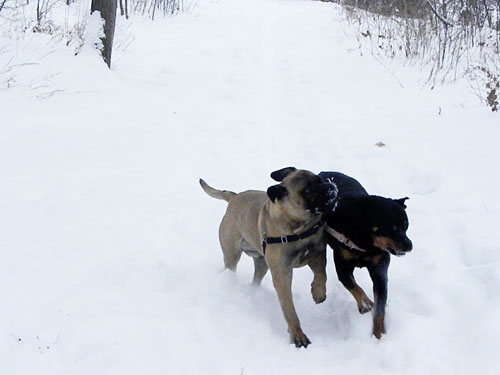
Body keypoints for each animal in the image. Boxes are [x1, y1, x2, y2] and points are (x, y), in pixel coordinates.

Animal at [198, 168, 336, 350]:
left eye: (319, 180)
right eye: (307, 191)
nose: (331, 186)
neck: (299, 228)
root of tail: (233, 197)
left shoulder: (317, 253)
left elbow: (321, 274)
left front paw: (318, 292)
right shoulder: (282, 274)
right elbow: (289, 309)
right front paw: (297, 335)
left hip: (261, 263)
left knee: (256, 279)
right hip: (231, 255)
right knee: (230, 267)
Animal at [318, 172, 412, 340]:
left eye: (406, 226)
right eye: (392, 228)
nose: (409, 245)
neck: (366, 243)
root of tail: (324, 172)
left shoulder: (380, 271)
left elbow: (380, 307)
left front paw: (379, 333)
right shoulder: (343, 267)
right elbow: (353, 286)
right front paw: (365, 304)